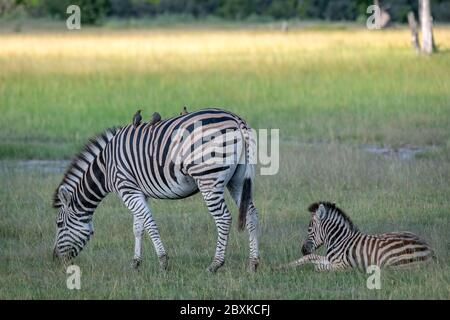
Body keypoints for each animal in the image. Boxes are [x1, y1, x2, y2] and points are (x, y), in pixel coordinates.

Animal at [51, 108, 260, 272]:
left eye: (59, 224)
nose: (54, 259)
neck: (105, 167)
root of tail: (236, 119)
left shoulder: (127, 189)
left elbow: (149, 224)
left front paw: (163, 262)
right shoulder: (138, 191)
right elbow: (137, 227)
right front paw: (135, 263)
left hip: (208, 178)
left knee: (224, 218)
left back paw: (215, 264)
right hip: (237, 180)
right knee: (251, 214)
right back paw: (253, 263)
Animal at [286, 201, 434, 272]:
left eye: (309, 229)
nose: (303, 250)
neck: (339, 240)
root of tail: (428, 247)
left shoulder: (342, 265)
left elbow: (317, 267)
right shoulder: (329, 259)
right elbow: (311, 258)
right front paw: (283, 267)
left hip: (392, 264)